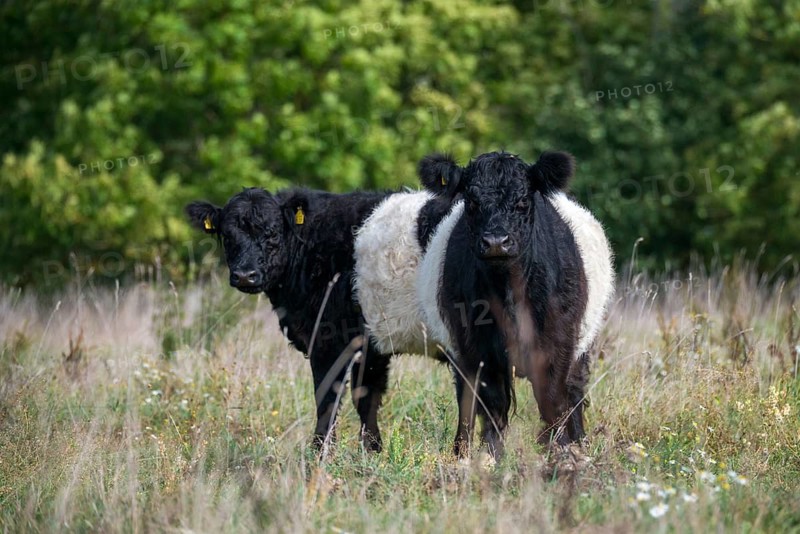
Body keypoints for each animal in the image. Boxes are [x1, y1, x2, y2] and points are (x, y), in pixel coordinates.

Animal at [416, 150, 614, 460]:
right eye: (472, 202)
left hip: (582, 344)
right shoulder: (476, 347)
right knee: (467, 402)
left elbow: (552, 400)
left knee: (574, 391)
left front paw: (560, 451)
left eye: (522, 201)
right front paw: (491, 456)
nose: (496, 241)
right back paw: (461, 452)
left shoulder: (557, 343)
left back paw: (580, 443)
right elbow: (492, 405)